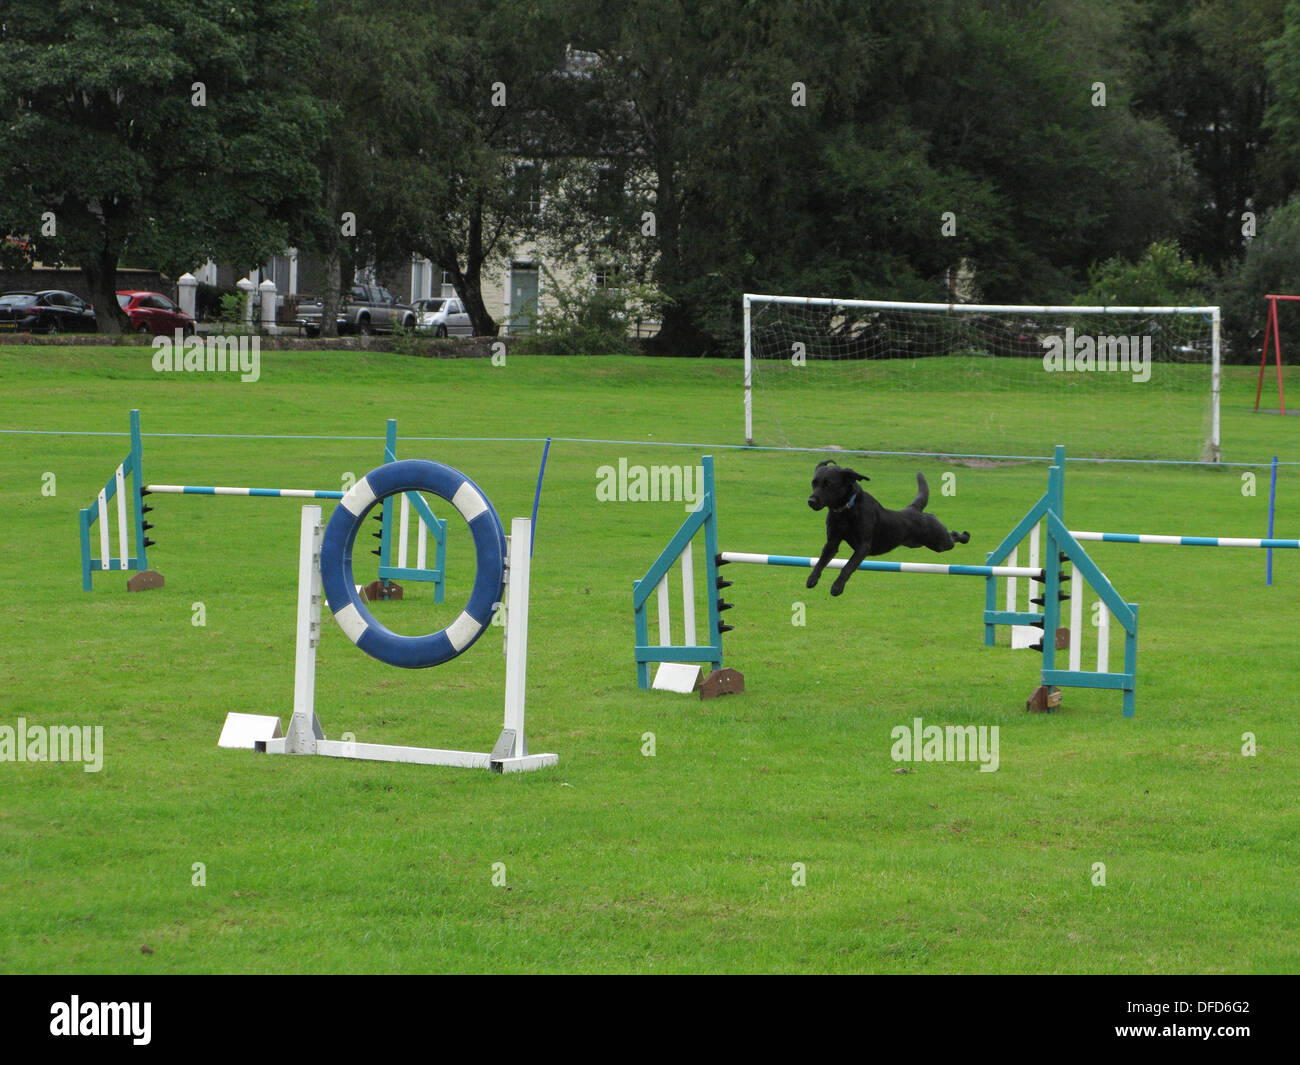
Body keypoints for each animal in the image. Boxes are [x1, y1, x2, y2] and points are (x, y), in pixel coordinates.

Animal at [806, 457, 972, 595]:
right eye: (814, 483)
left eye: (828, 484)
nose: (811, 501)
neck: (846, 509)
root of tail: (913, 509)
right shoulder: (832, 542)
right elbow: (821, 561)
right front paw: (812, 579)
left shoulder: (863, 546)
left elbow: (848, 566)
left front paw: (837, 587)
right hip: (918, 543)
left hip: (939, 541)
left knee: (952, 536)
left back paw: (965, 536)